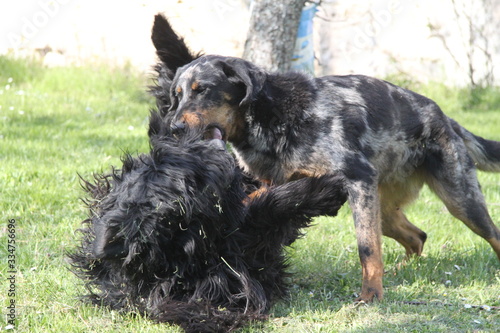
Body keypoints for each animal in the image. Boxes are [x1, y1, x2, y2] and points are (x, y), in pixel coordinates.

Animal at [150, 14, 500, 302]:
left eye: (203, 90)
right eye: (176, 96)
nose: (174, 128)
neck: (272, 114)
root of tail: (443, 116)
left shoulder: (357, 180)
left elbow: (367, 250)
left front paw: (370, 297)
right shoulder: (278, 184)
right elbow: (255, 203)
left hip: (459, 200)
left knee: (492, 235)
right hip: (384, 210)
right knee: (417, 237)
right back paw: (401, 273)